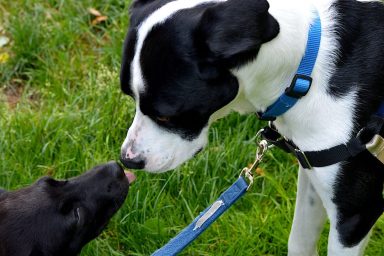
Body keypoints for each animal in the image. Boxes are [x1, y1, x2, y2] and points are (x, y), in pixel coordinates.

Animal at [120, 1, 384, 255]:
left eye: (164, 115)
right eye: (130, 97)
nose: (127, 160)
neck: (305, 71)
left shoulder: (355, 213)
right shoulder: (312, 169)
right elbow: (298, 243)